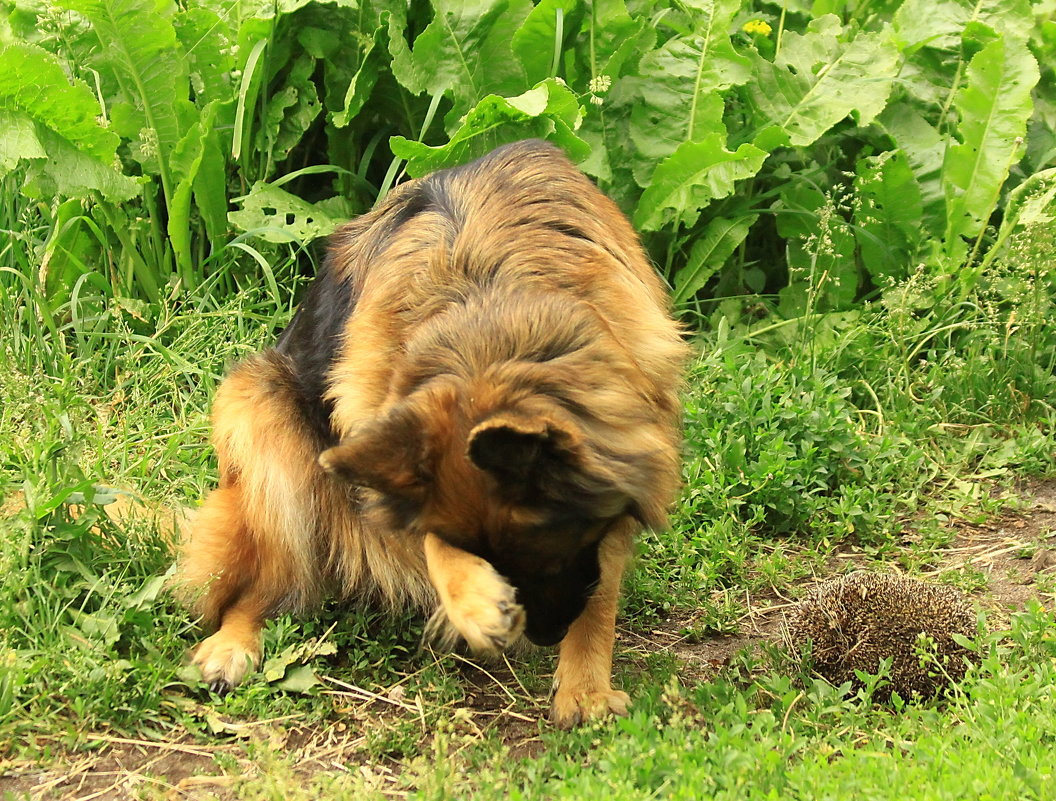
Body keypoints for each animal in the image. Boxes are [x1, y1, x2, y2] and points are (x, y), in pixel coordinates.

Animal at [175, 141, 684, 730]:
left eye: (552, 546)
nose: (544, 633)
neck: (487, 303)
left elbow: (601, 589)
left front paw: (585, 688)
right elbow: (431, 535)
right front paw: (475, 604)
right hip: (262, 426)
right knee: (265, 586)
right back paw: (232, 644)